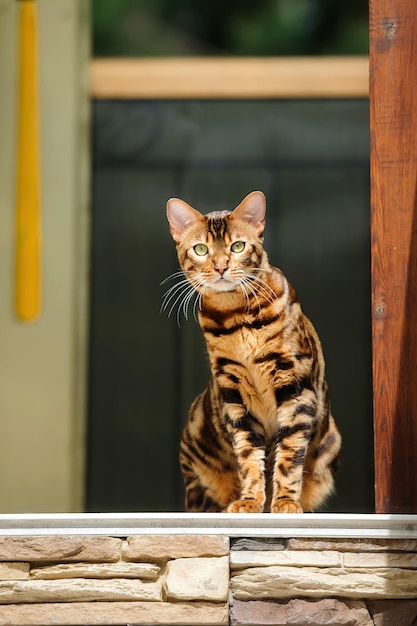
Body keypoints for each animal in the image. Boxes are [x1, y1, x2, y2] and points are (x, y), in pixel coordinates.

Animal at [164, 190, 340, 512]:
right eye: (200, 249)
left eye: (238, 246)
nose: (221, 266)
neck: (236, 319)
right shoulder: (233, 391)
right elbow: (247, 454)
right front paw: (249, 500)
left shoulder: (295, 386)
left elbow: (289, 455)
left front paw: (284, 502)